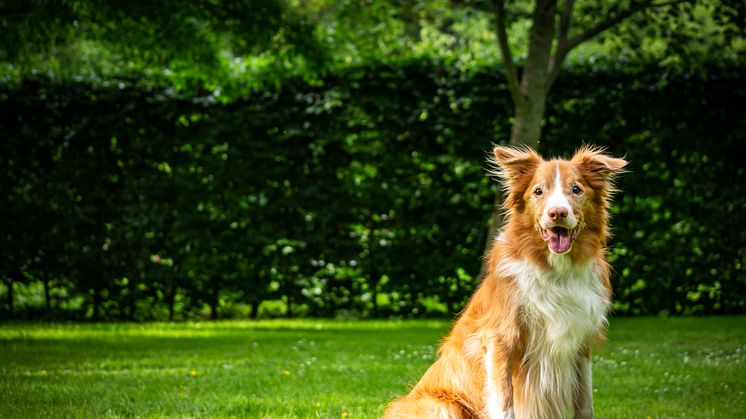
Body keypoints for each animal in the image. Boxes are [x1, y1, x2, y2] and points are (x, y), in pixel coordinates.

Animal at [386, 147, 624, 419]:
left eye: (576, 189)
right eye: (538, 191)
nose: (558, 213)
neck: (557, 272)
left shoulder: (580, 343)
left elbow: (585, 405)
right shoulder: (500, 340)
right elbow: (504, 403)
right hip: (442, 406)